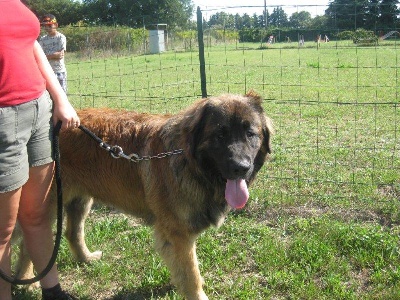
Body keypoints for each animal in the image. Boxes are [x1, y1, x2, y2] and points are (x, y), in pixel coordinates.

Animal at [18, 92, 272, 300]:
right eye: (220, 135)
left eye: (250, 134)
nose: (241, 167)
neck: (188, 162)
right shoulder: (178, 234)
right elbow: (191, 273)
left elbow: (186, 269)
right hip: (50, 203)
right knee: (28, 241)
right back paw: (27, 282)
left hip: (80, 200)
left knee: (72, 232)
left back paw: (86, 259)